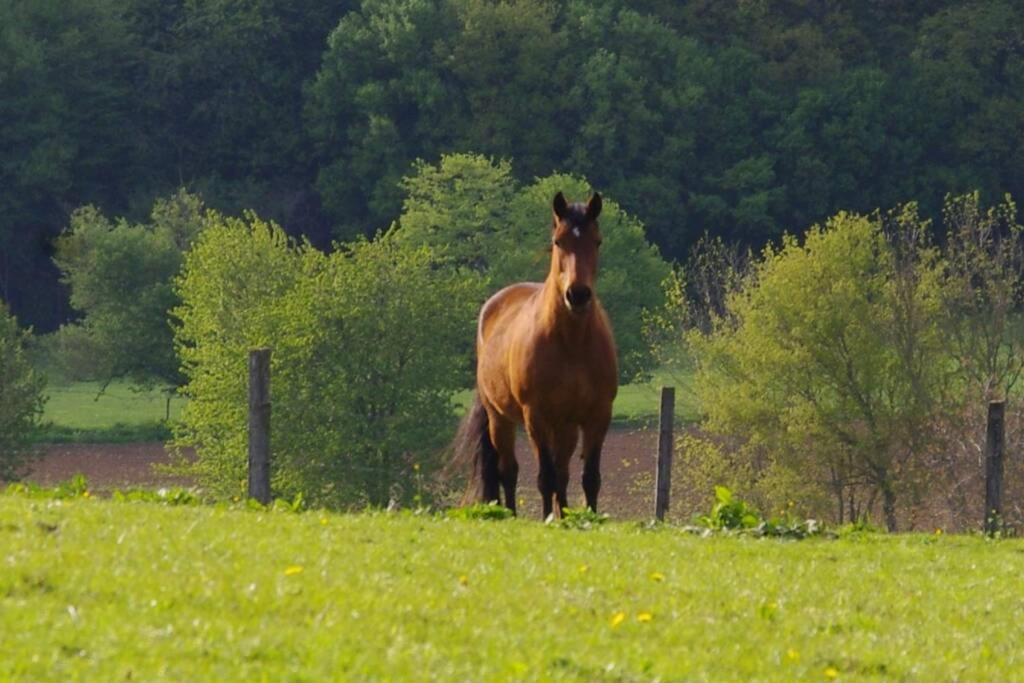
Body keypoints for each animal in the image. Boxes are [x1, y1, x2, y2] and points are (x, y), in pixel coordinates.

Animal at [454, 192, 614, 518]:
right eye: (558, 241)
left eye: (597, 241)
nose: (577, 295)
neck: (571, 344)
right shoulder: (536, 416)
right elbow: (544, 477)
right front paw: (548, 519)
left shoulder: (598, 415)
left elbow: (589, 478)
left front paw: (583, 519)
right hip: (500, 419)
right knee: (508, 471)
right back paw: (512, 515)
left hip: (564, 426)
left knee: (562, 472)